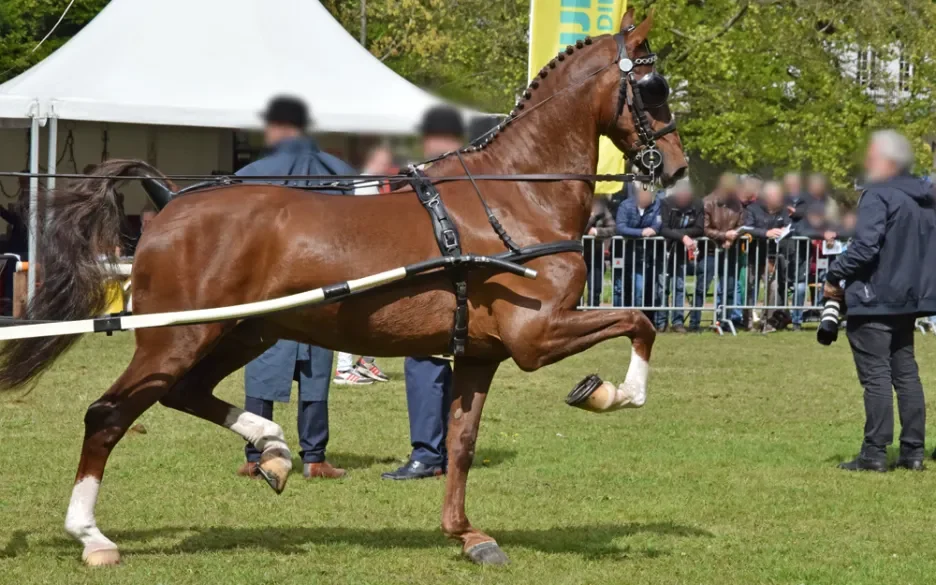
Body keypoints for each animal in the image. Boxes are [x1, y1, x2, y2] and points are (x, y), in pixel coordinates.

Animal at [0, 9, 688, 564]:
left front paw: (467, 535)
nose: (677, 168)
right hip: (175, 338)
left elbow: (462, 444)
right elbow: (639, 322)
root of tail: (169, 200)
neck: (515, 197)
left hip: (243, 331)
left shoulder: (482, 355)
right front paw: (610, 393)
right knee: (108, 414)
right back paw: (92, 536)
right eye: (653, 87)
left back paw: (273, 448)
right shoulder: (535, 336)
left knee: (185, 393)